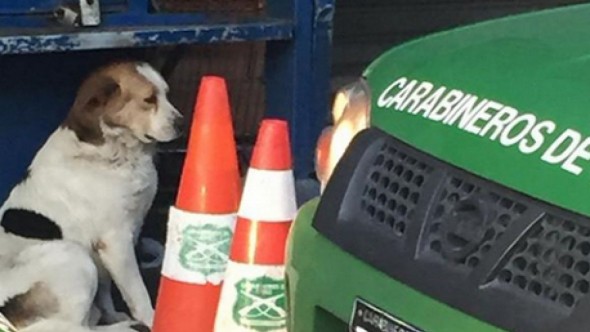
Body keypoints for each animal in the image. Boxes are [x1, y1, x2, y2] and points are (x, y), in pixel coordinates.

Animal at [0, 61, 184, 330]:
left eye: (167, 94)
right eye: (149, 99)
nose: (183, 123)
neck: (113, 150)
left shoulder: (108, 245)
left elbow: (106, 289)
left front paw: (113, 314)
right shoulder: (116, 240)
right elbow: (137, 293)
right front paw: (151, 320)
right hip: (73, 255)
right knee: (77, 326)